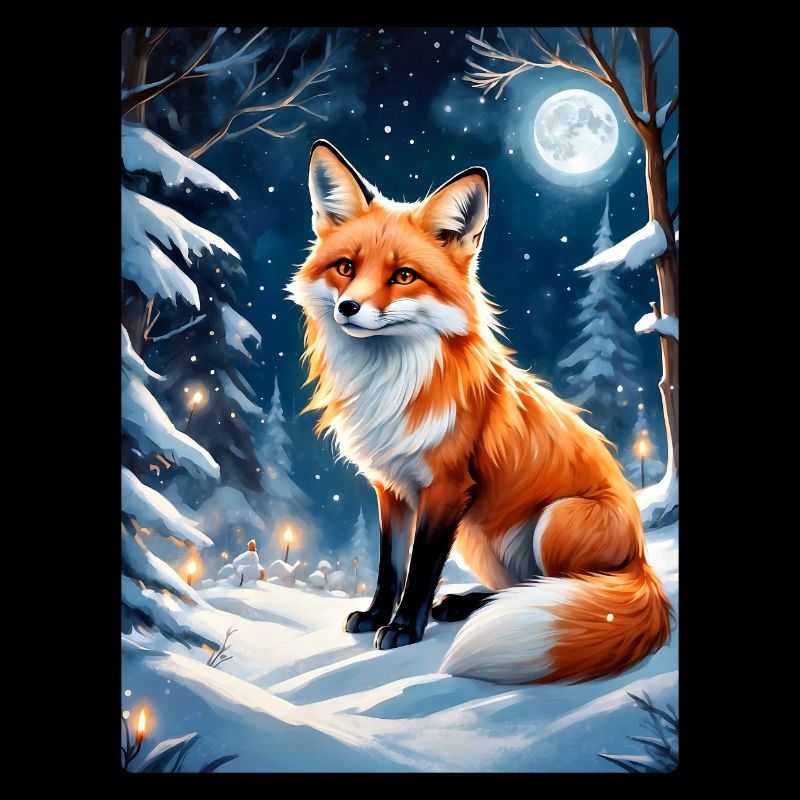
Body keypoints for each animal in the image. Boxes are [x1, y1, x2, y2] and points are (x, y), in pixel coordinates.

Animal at [286, 140, 672, 684]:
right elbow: (390, 566)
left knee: (560, 591)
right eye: (345, 268)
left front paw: (402, 629)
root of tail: (642, 563)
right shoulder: (390, 488)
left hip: (554, 519)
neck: (390, 382)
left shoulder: (448, 487)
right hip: (480, 539)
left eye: (404, 276)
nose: (348, 308)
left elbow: (420, 570)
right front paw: (377, 615)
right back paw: (468, 604)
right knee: (520, 587)